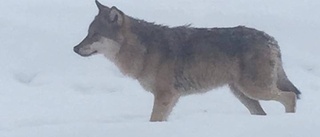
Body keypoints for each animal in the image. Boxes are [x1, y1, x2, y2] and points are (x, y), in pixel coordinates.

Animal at [73, 0, 300, 122]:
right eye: (88, 34)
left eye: (95, 35)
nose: (75, 48)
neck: (144, 51)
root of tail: (270, 39)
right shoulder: (171, 98)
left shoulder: (165, 95)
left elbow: (154, 119)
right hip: (244, 95)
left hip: (254, 90)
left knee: (290, 97)